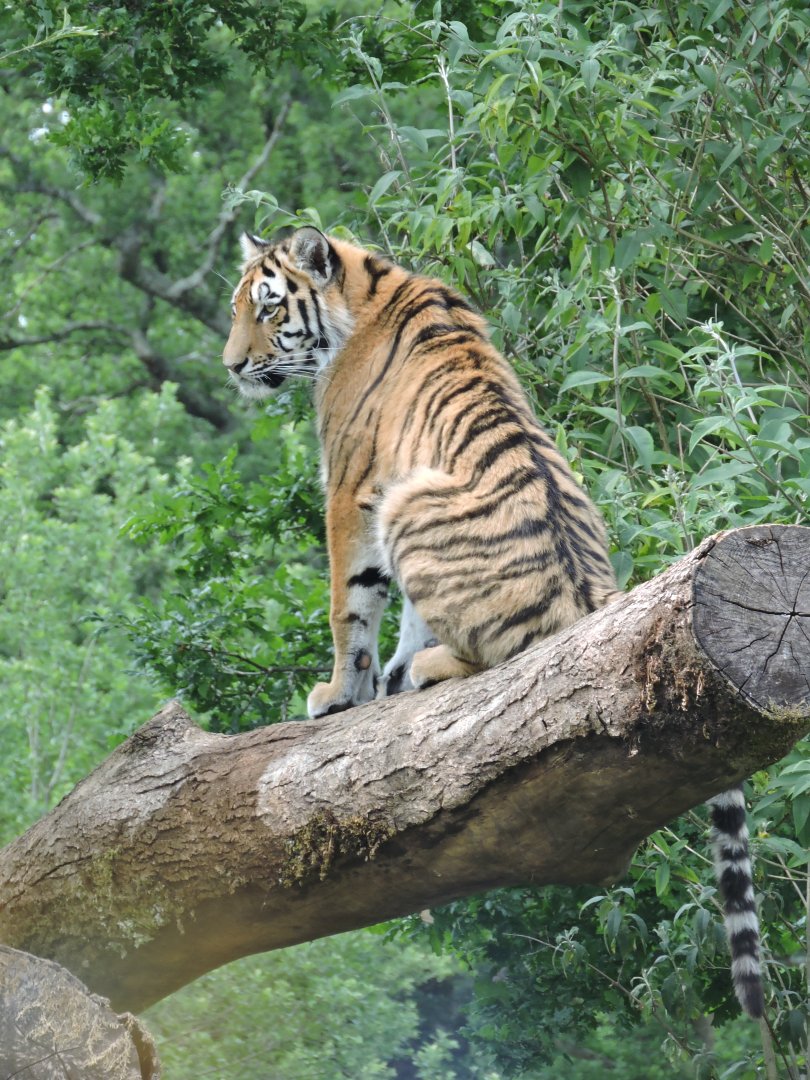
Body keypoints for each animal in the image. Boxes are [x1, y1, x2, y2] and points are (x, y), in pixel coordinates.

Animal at [222, 225, 764, 1019]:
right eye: (239, 308)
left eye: (266, 308)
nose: (232, 366)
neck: (365, 290)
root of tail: (595, 598)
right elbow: (407, 615)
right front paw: (379, 683)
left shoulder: (353, 490)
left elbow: (349, 605)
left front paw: (340, 695)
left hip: (409, 505)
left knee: (490, 661)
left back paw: (426, 670)